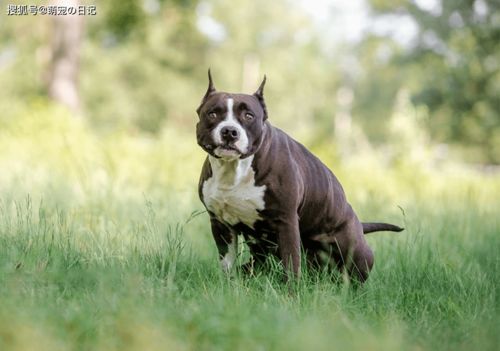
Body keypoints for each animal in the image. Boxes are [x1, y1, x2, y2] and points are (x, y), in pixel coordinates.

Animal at [195, 71, 402, 284]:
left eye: (248, 115)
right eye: (212, 114)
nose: (229, 131)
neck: (235, 169)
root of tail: (359, 224)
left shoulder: (286, 220)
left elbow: (291, 263)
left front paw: (291, 290)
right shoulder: (220, 224)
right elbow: (227, 263)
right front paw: (227, 285)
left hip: (356, 252)